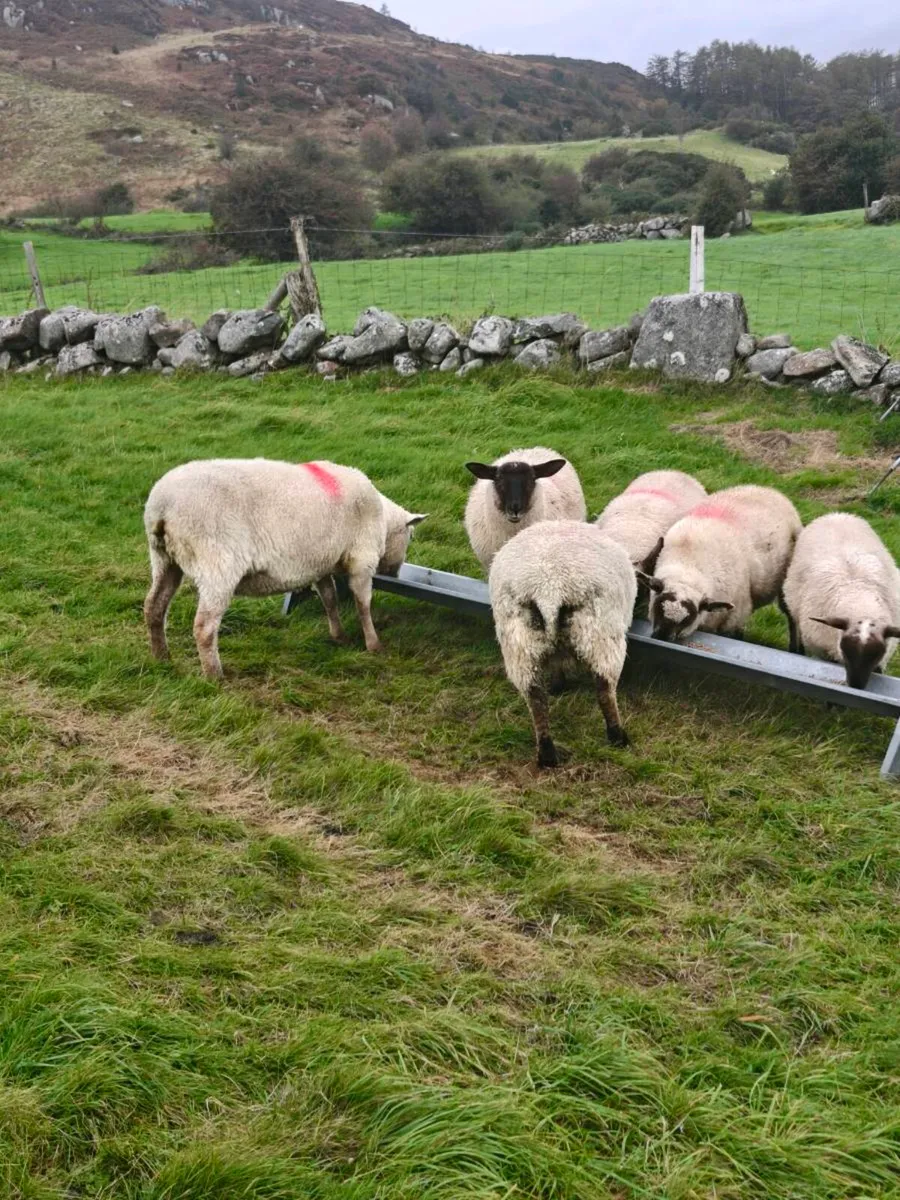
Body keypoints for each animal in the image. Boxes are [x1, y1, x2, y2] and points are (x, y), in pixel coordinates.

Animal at [143, 458, 425, 678]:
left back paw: (162, 658)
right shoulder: (361, 560)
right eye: (411, 536)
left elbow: (329, 598)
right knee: (204, 626)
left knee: (154, 606)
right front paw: (374, 645)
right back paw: (215, 676)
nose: (395, 573)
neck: (382, 519)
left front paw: (338, 635)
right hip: (217, 564)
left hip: (164, 559)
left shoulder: (320, 563)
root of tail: (162, 507)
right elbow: (363, 604)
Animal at [489, 520, 637, 767]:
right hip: (600, 635)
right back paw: (618, 737)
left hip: (520, 644)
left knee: (535, 699)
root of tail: (549, 591)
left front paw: (558, 685)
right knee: (604, 689)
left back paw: (547, 754)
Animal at [642, 485, 802, 641]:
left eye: (688, 618)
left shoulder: (733, 619)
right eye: (658, 606)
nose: (661, 636)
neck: (688, 565)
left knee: (792, 621)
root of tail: (768, 489)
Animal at [782, 513, 900, 688]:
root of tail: (837, 515)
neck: (860, 602)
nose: (856, 685)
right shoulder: (823, 652)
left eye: (877, 653)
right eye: (845, 649)